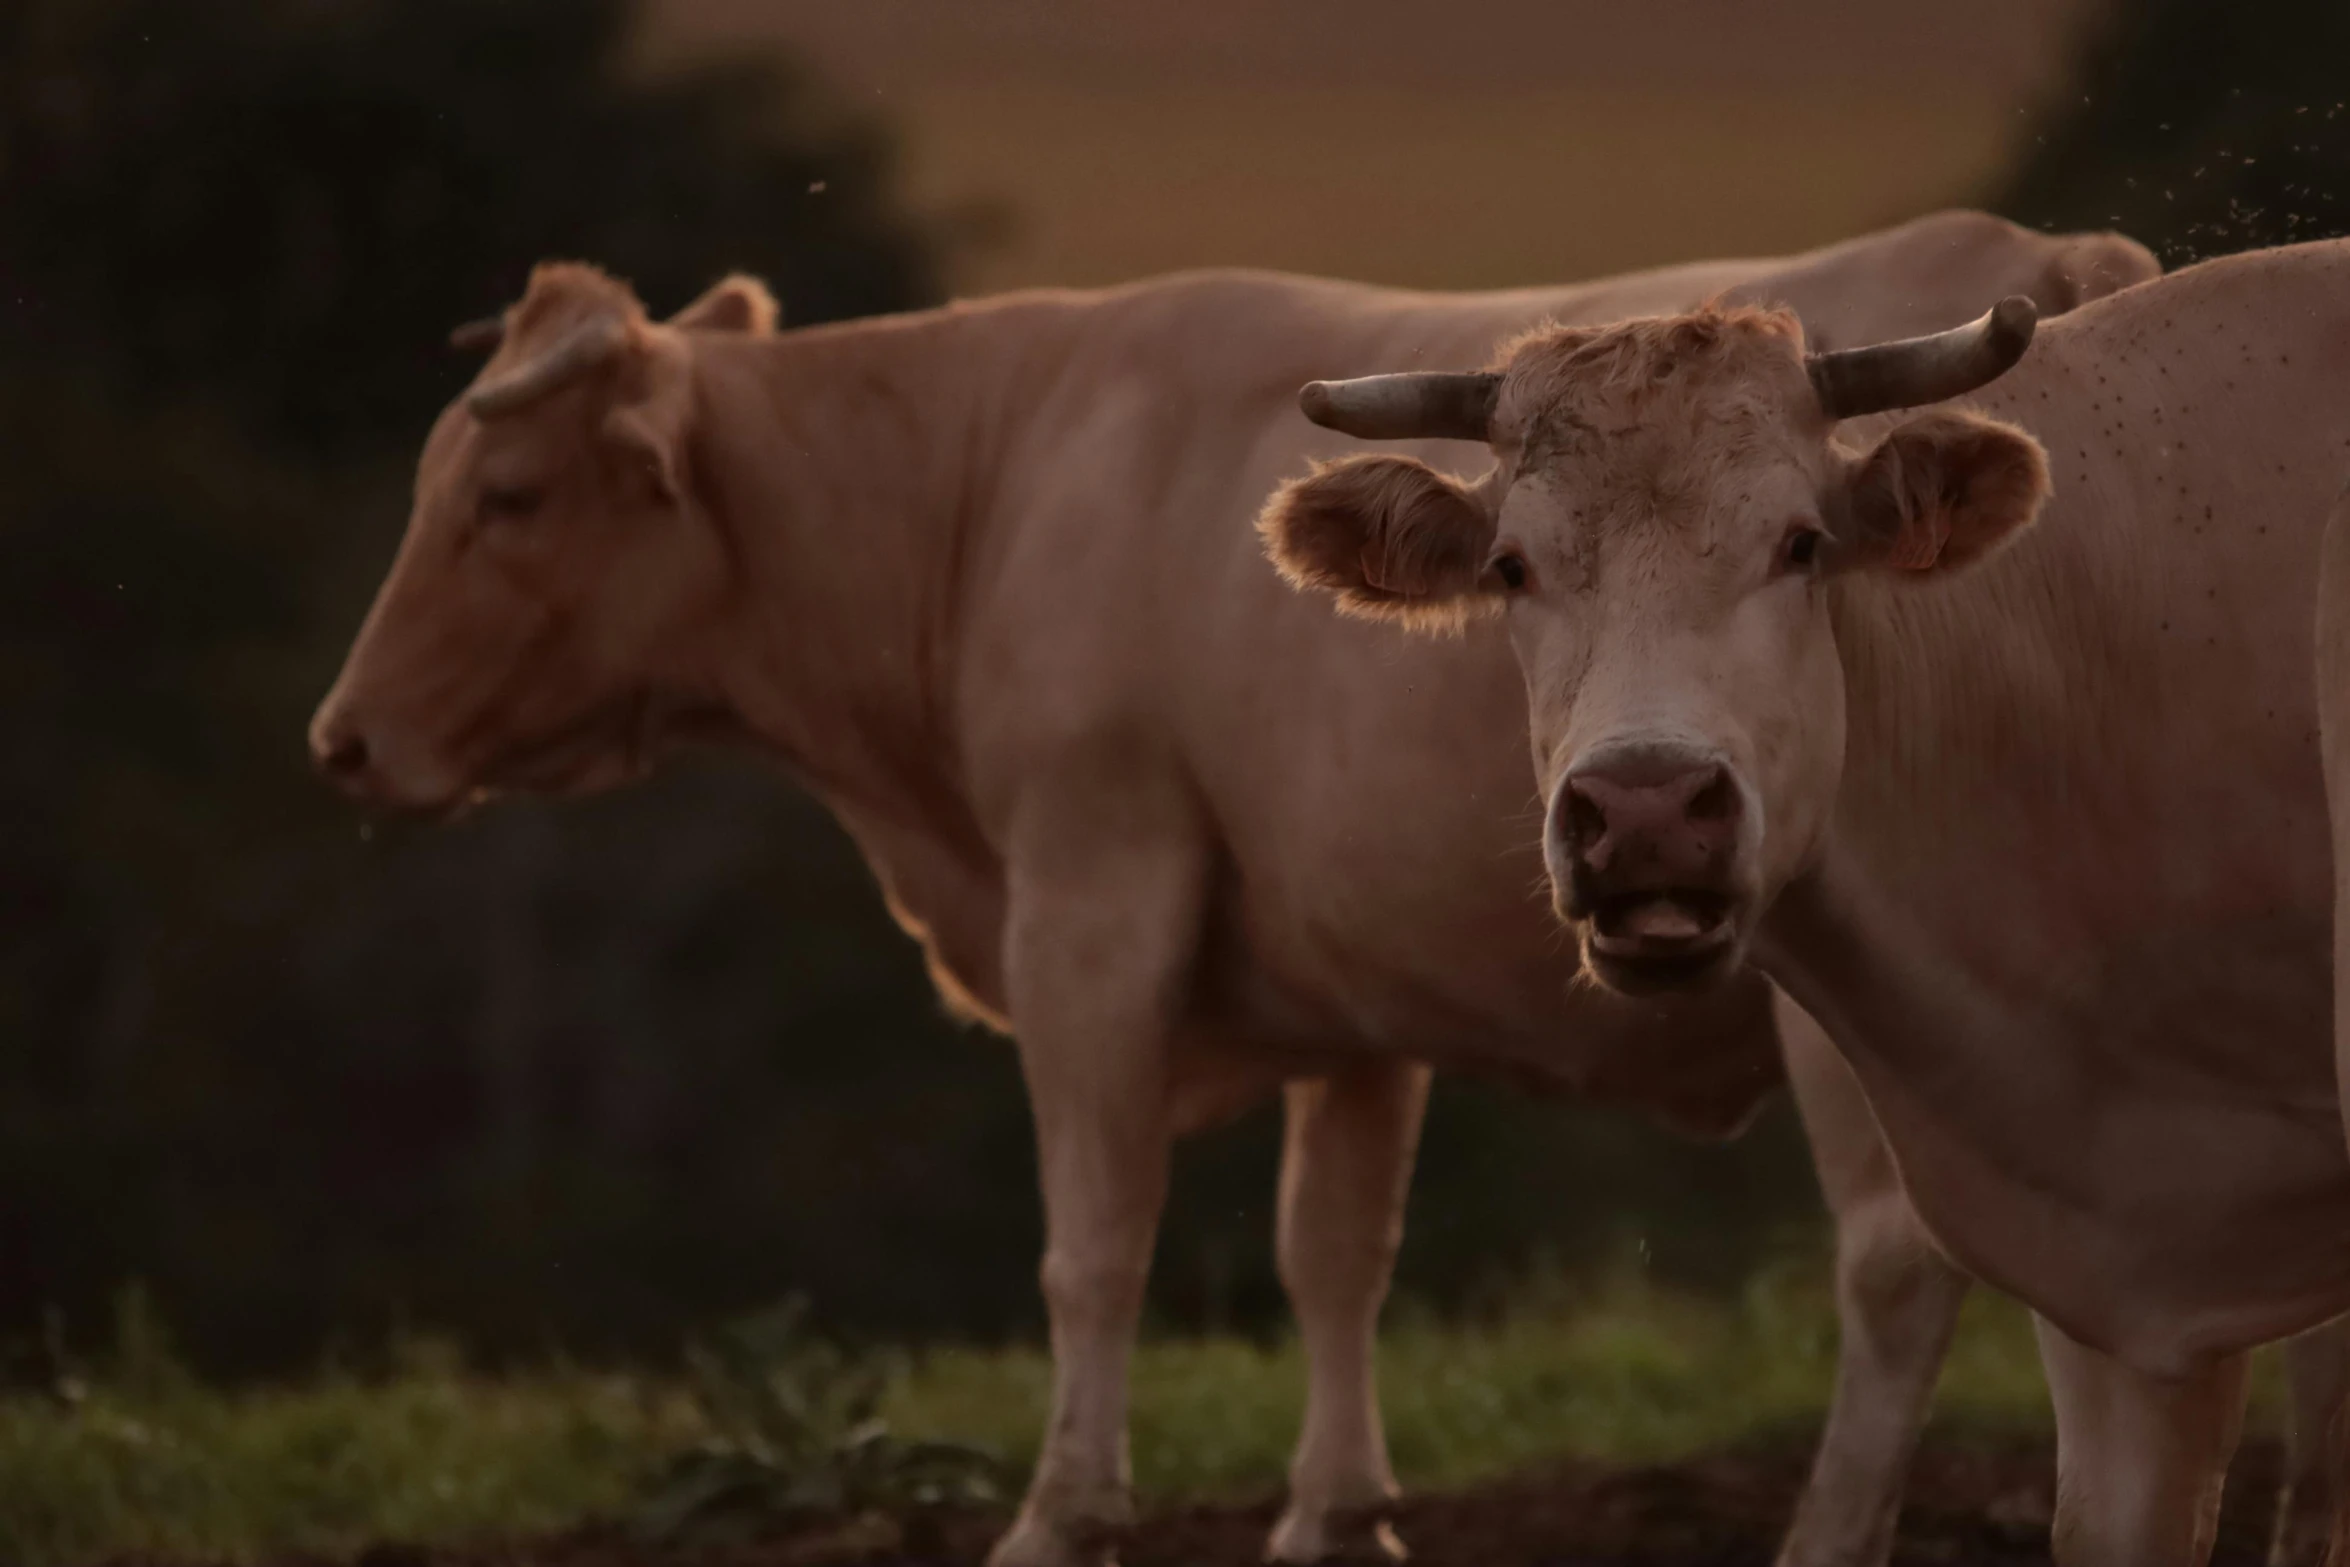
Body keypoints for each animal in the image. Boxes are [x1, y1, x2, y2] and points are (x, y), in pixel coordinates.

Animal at [312, 211, 2162, 1567]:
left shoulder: (1088, 902)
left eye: (506, 496)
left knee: (1899, 1260)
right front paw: (1334, 1515)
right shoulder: (1352, 985)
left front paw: (1061, 1514)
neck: (1008, 474)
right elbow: (1331, 1248)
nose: (343, 737)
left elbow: (1094, 1239)